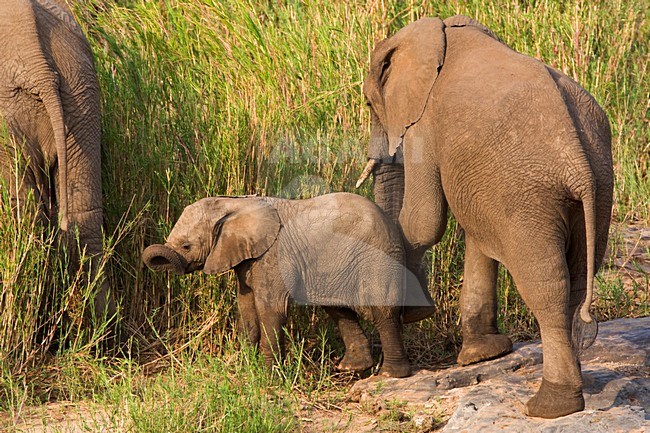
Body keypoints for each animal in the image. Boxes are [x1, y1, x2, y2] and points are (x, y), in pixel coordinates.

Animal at [140, 191, 430, 376]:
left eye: (186, 246)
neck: (233, 203)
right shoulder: (248, 259)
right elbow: (246, 308)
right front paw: (247, 367)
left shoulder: (274, 256)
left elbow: (271, 309)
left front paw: (268, 375)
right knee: (339, 309)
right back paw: (351, 368)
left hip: (377, 256)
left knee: (381, 312)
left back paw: (390, 375)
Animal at [354, 15, 612, 416]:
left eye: (369, 102)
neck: (442, 31)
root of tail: (579, 165)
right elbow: (478, 235)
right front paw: (483, 356)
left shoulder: (425, 125)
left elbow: (424, 222)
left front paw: (415, 316)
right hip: (597, 188)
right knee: (579, 278)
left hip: (530, 196)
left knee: (546, 285)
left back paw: (550, 406)